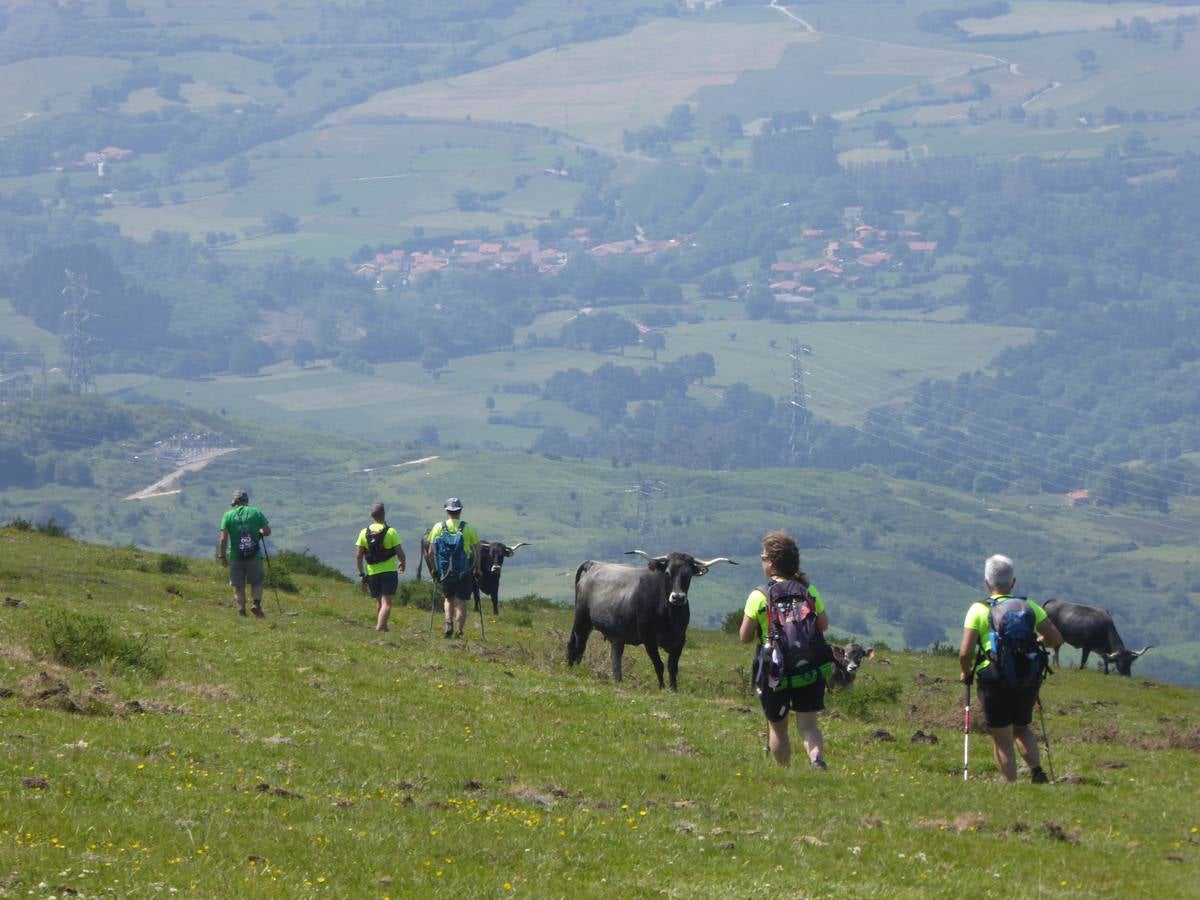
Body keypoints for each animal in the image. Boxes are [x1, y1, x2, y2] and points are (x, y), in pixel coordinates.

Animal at [566, 549, 734, 691]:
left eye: (689, 575)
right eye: (668, 573)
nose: (678, 597)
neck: (669, 615)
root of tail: (594, 564)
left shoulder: (680, 640)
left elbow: (673, 666)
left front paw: (673, 689)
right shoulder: (649, 640)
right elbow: (659, 664)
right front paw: (661, 687)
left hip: (616, 635)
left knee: (615, 658)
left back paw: (618, 681)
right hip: (582, 620)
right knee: (577, 645)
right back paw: (573, 669)